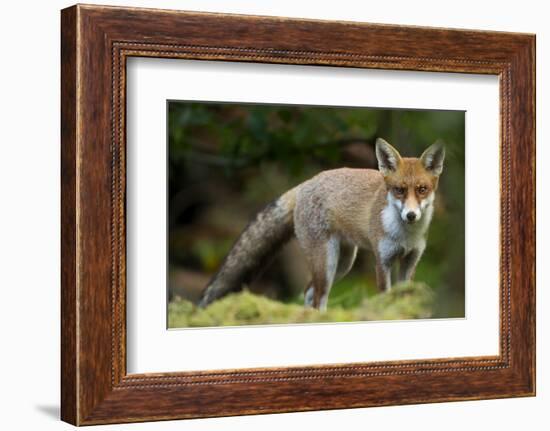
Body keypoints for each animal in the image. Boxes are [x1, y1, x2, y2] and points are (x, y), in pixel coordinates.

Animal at [201, 138, 446, 310]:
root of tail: (305, 184)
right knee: (317, 296)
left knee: (309, 292)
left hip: (343, 263)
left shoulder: (410, 260)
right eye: (399, 190)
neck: (406, 235)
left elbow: (404, 295)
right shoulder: (382, 261)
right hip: (326, 262)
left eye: (422, 189)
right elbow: (384, 296)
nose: (411, 215)